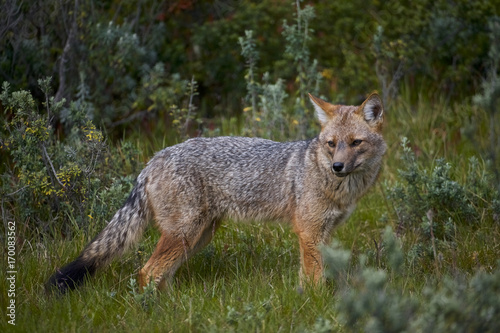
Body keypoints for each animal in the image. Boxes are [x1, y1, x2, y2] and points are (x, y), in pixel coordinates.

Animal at [47, 92, 386, 292]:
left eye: (355, 143)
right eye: (331, 144)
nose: (338, 166)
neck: (338, 186)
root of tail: (154, 159)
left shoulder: (323, 232)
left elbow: (313, 274)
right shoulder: (309, 232)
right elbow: (315, 278)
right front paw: (314, 304)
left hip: (197, 238)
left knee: (159, 274)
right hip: (185, 234)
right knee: (146, 272)